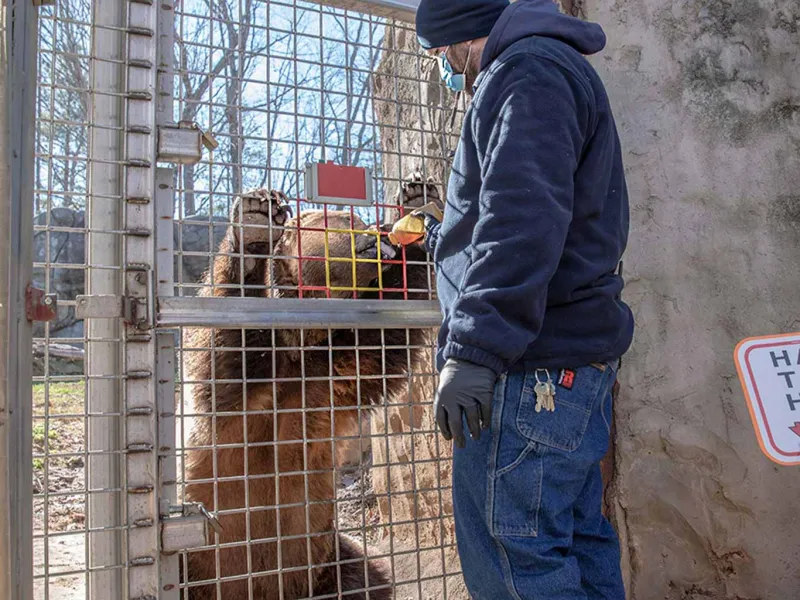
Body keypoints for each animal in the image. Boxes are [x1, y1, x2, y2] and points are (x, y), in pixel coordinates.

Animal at [181, 176, 440, 596]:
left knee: (365, 575)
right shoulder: (244, 390)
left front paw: (416, 206)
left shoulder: (329, 375)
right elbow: (225, 348)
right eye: (347, 219)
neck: (299, 345)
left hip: (324, 556)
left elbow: (386, 336)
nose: (376, 230)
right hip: (194, 566)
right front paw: (255, 225)